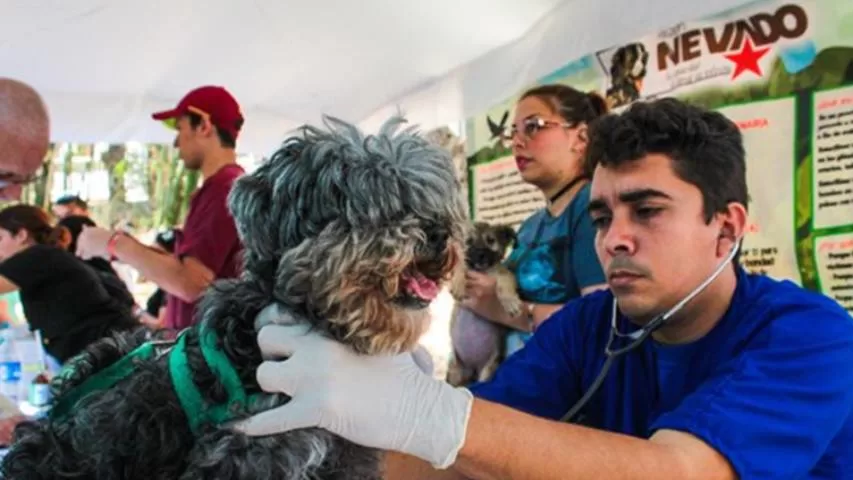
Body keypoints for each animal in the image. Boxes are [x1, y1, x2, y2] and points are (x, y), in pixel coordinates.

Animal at [446, 222, 520, 386]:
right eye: (469, 242)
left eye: (491, 241)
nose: (480, 254)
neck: (483, 271)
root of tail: (473, 370)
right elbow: (461, 266)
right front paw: (459, 284)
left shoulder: (504, 273)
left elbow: (505, 281)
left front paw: (511, 302)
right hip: (455, 372)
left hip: (488, 370)